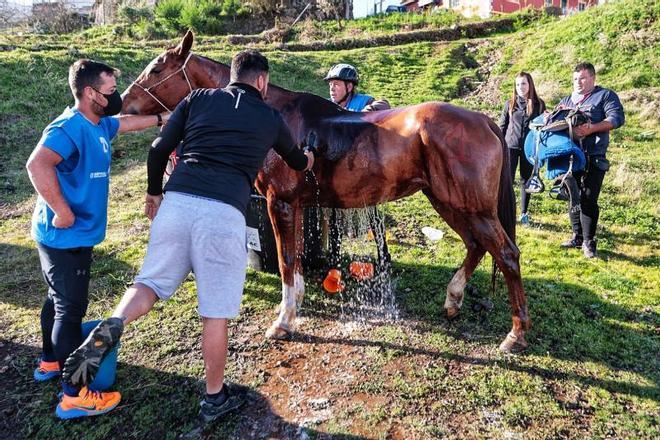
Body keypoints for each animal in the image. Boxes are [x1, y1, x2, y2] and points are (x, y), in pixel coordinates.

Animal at [121, 31, 531, 352]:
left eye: (156, 69)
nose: (121, 103)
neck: (269, 111)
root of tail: (482, 120)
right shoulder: (298, 207)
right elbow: (297, 258)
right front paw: (294, 306)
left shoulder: (281, 204)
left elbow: (286, 260)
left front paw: (284, 321)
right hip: (450, 203)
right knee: (476, 246)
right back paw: (454, 299)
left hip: (471, 208)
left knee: (507, 255)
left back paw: (515, 334)